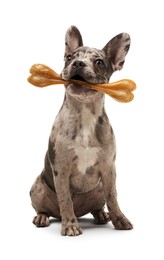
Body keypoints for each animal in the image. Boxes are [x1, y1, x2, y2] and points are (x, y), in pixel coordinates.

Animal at [29, 25, 133, 236]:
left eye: (99, 62)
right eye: (69, 57)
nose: (77, 63)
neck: (84, 112)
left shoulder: (109, 170)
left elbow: (113, 197)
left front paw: (119, 219)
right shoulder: (61, 170)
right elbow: (65, 199)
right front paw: (70, 225)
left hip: (98, 189)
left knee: (99, 205)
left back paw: (101, 215)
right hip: (37, 187)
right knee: (44, 208)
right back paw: (43, 217)